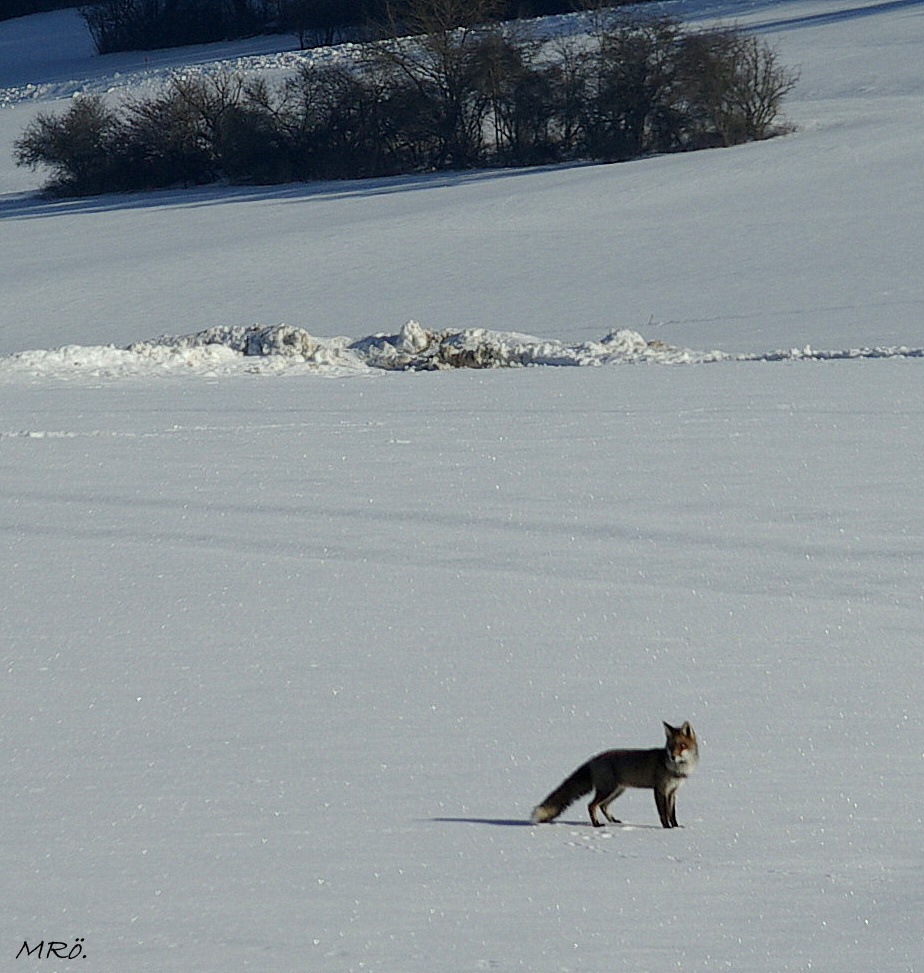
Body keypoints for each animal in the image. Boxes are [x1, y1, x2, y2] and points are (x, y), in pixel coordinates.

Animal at [532, 720, 696, 828]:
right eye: (671, 746)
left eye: (682, 746)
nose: (673, 756)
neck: (677, 768)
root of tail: (593, 759)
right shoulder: (660, 790)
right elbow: (663, 813)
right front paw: (667, 827)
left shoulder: (672, 792)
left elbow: (672, 813)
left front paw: (676, 826)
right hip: (608, 790)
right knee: (591, 805)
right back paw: (597, 824)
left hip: (617, 790)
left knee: (603, 806)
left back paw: (613, 821)